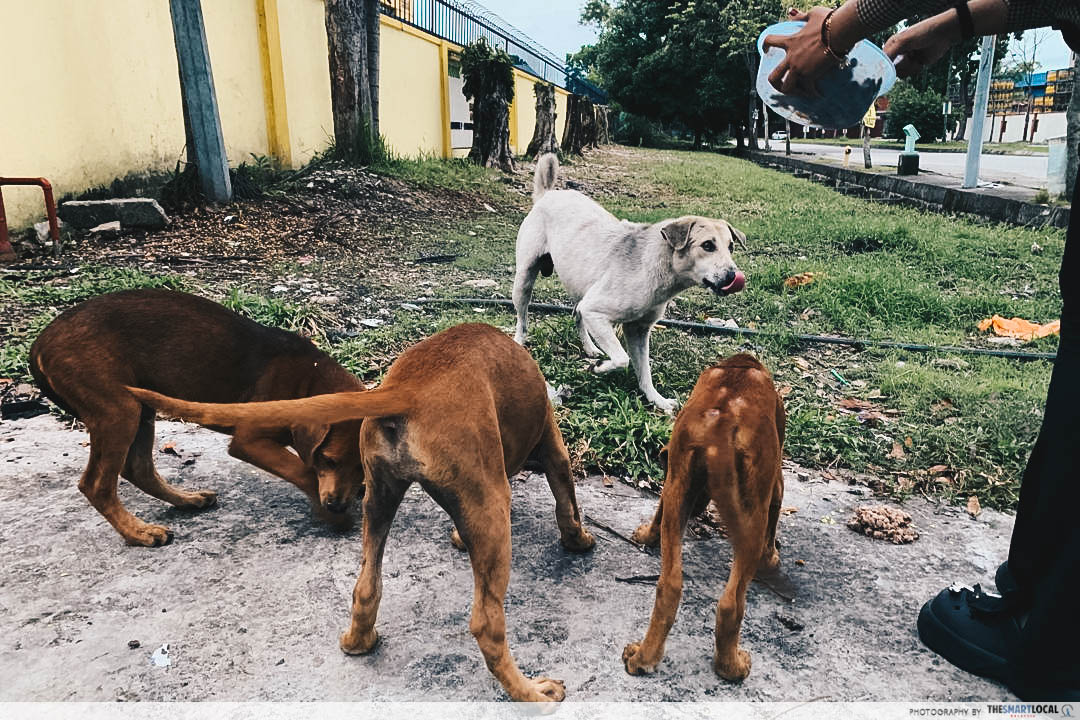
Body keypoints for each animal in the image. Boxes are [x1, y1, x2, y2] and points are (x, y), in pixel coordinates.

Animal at [28, 287, 367, 546]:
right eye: (328, 460)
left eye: (361, 468)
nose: (337, 505)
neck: (309, 380)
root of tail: (41, 342)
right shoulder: (250, 440)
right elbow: (304, 471)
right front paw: (332, 516)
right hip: (118, 410)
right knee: (96, 485)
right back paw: (139, 533)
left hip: (142, 410)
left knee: (139, 469)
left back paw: (186, 500)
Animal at [130, 323, 600, 699]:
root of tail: (408, 389)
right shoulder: (553, 445)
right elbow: (567, 500)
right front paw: (579, 540)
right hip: (489, 504)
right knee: (486, 624)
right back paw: (533, 693)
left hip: (378, 500)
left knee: (366, 587)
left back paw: (358, 640)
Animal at [509, 155, 747, 414]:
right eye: (707, 245)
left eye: (731, 247)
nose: (733, 276)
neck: (656, 264)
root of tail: (548, 194)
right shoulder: (596, 312)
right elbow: (622, 359)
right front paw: (600, 367)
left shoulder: (638, 331)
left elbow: (644, 372)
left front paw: (656, 399)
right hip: (524, 281)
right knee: (523, 320)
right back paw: (520, 344)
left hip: (579, 285)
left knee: (576, 314)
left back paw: (590, 348)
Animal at [626, 358, 786, 686]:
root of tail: (721, 423)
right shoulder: (774, 482)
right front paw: (772, 558)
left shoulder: (674, 477)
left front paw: (646, 535)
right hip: (752, 518)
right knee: (731, 604)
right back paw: (732, 667)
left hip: (678, 491)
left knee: (669, 587)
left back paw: (642, 658)